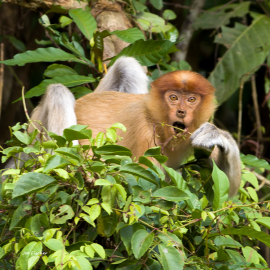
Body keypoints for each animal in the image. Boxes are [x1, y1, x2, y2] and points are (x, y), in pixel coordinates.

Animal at [30, 56, 243, 196]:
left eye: (191, 99)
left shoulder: (195, 132)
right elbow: (141, 186)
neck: (156, 118)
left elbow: (226, 190)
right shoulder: (145, 133)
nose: (181, 112)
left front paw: (216, 135)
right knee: (58, 91)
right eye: (173, 97)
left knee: (127, 64)